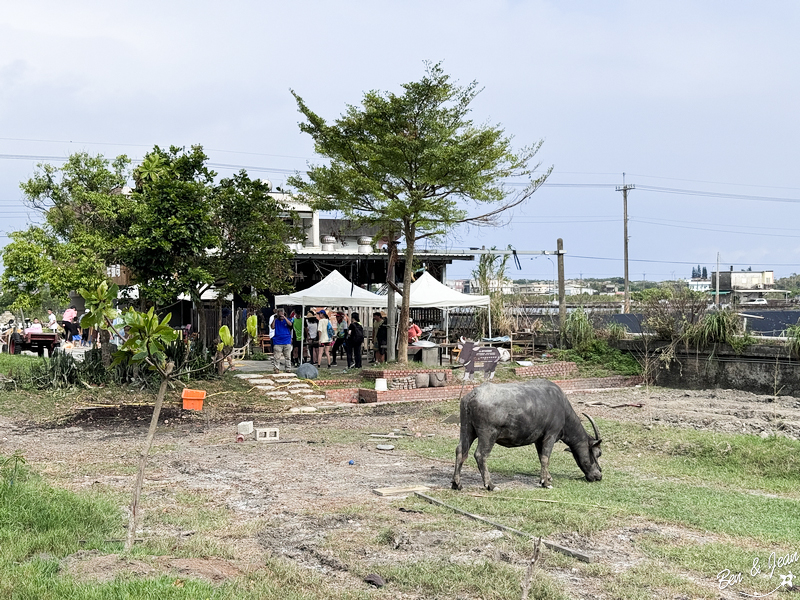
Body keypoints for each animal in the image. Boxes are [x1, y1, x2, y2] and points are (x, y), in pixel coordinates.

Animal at [454, 382, 604, 490]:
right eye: (598, 453)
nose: (599, 475)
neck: (563, 410)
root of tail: (473, 394)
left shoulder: (539, 439)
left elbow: (541, 456)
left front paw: (547, 477)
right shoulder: (551, 434)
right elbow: (545, 458)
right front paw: (545, 483)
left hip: (467, 429)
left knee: (461, 451)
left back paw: (457, 483)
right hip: (488, 434)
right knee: (480, 455)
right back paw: (490, 485)